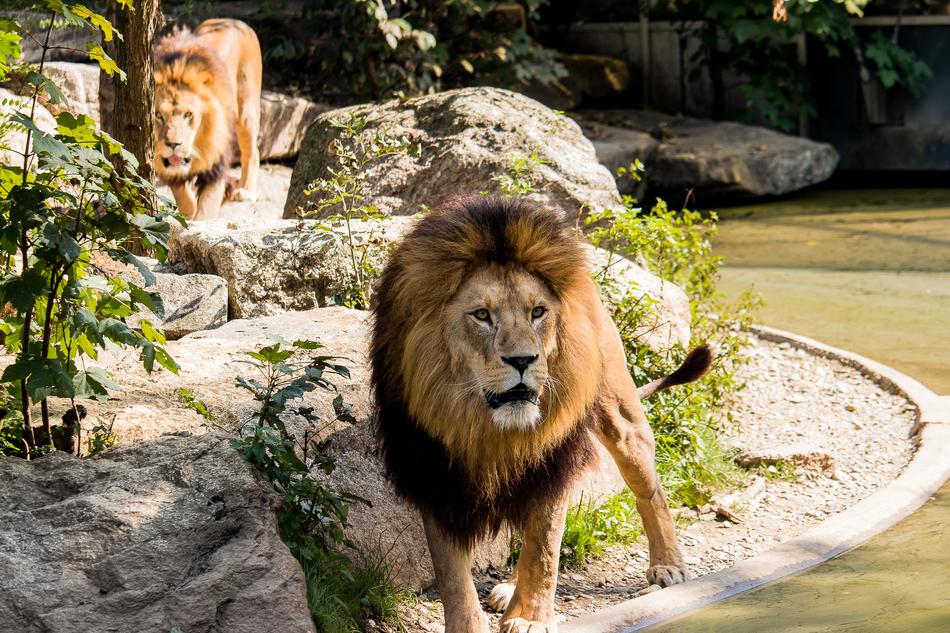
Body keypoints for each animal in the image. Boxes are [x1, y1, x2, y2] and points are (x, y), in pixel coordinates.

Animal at [153, 19, 262, 220]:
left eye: (188, 114)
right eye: (158, 115)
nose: (173, 144)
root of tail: (233, 20)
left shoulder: (217, 163)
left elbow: (207, 209)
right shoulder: (170, 168)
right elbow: (183, 197)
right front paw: (189, 213)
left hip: (247, 111)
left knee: (253, 152)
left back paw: (246, 191)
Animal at [371, 196, 713, 633]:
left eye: (537, 312)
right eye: (481, 315)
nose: (522, 360)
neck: (484, 425)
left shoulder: (553, 459)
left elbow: (544, 549)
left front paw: (531, 619)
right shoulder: (433, 470)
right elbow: (451, 573)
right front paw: (470, 624)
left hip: (619, 419)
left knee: (649, 489)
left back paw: (668, 565)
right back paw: (506, 590)